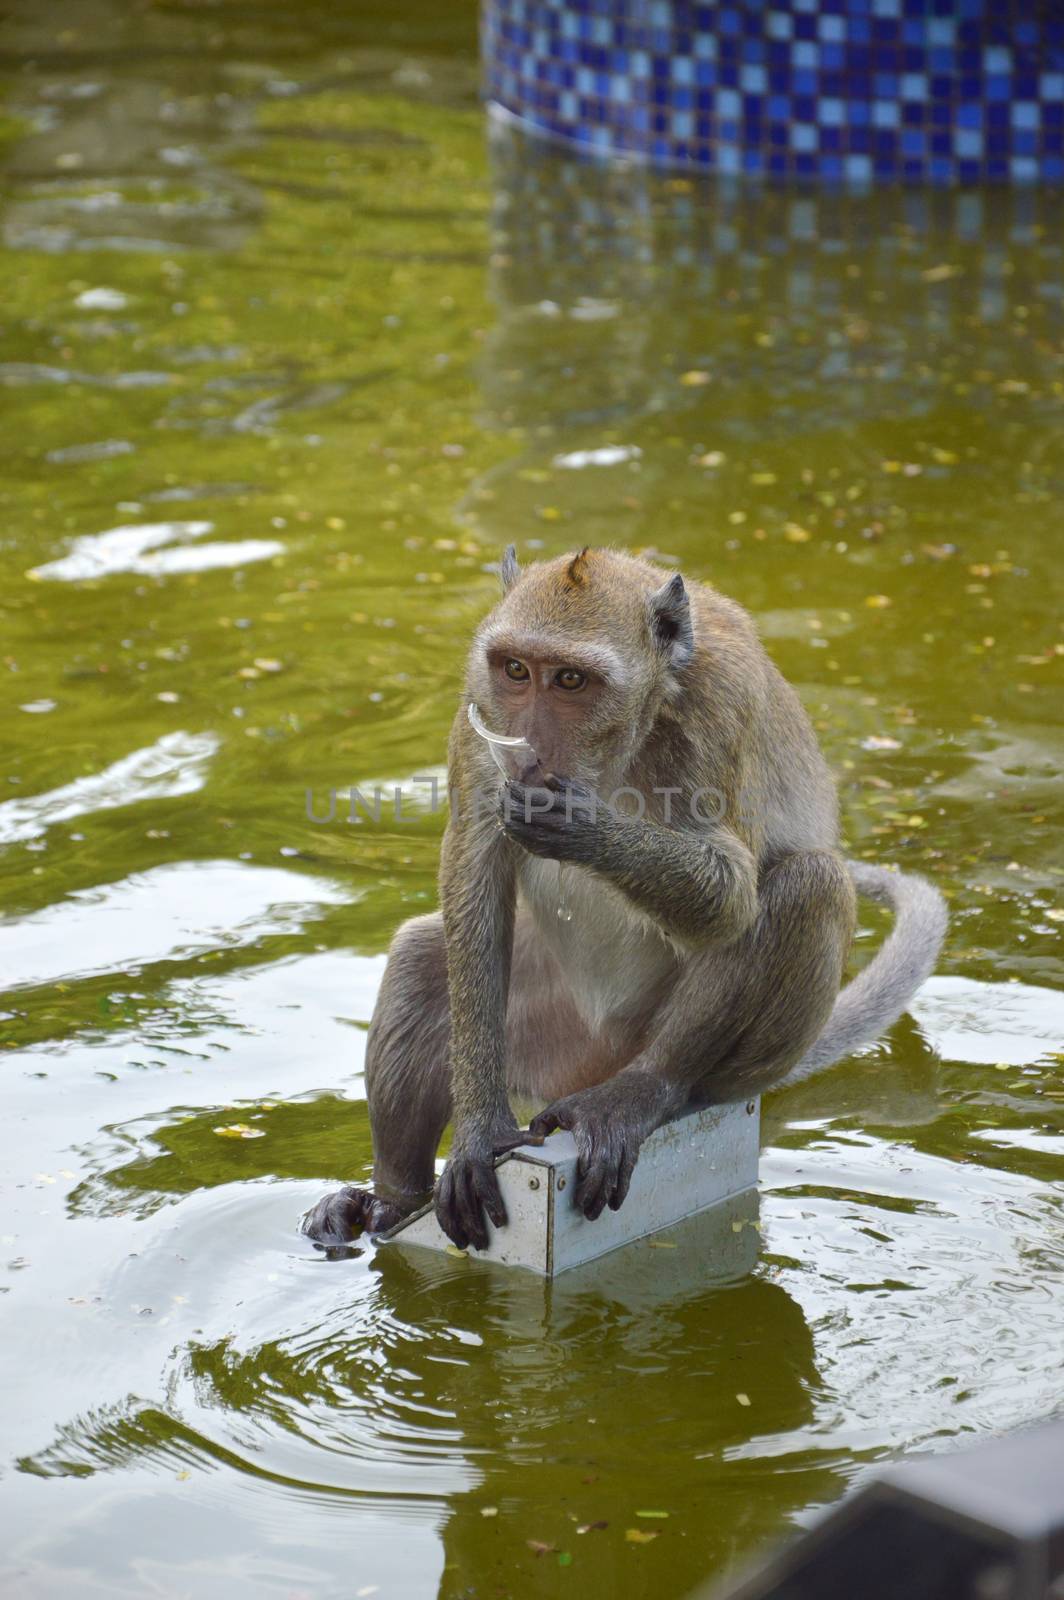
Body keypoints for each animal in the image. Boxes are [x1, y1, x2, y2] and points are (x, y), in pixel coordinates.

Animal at [305, 544, 947, 1254]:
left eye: (571, 681)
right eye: (517, 670)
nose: (528, 751)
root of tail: (591, 1068)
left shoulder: (720, 708)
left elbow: (731, 897)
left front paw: (580, 825)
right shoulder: (480, 718)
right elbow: (473, 865)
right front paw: (475, 1129)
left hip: (709, 1064)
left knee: (810, 886)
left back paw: (644, 1091)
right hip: (547, 1036)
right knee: (424, 958)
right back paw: (389, 1204)